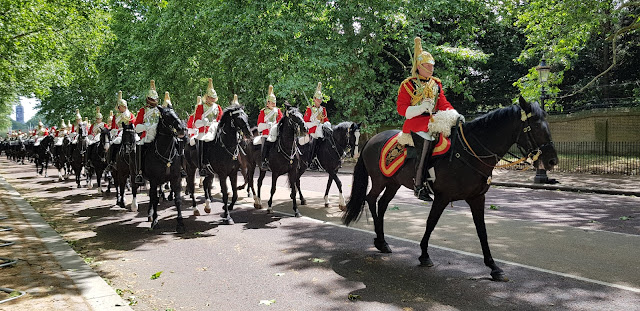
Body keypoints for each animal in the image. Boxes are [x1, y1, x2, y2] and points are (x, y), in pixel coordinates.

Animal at [342, 98, 556, 282]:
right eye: (536, 127)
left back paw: (383, 242)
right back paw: (380, 240)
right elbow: (431, 223)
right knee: (371, 199)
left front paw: (494, 267)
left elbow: (482, 231)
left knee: (382, 203)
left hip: (393, 183)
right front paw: (424, 255)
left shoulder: (477, 198)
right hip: (380, 180)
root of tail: (371, 140)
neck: (470, 153)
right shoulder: (442, 197)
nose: (552, 161)